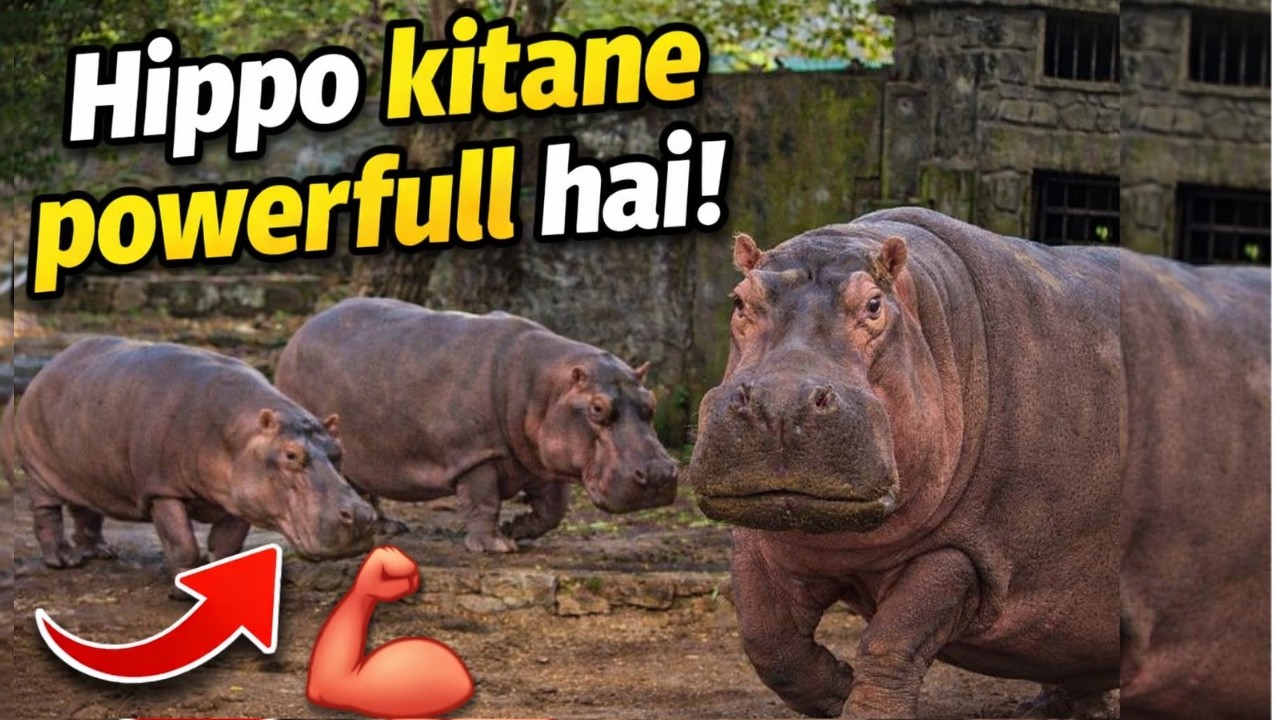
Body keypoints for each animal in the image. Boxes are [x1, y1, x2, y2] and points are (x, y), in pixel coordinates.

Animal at [16, 337, 378, 590]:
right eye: (291, 454)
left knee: (86, 511)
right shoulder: (162, 490)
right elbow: (182, 544)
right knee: (46, 515)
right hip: (38, 472)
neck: (239, 434)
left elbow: (228, 544)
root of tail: (51, 364)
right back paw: (64, 560)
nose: (362, 515)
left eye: (338, 450)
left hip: (86, 474)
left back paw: (101, 552)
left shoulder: (239, 499)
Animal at [275, 297, 679, 553]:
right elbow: (483, 500)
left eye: (652, 402)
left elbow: (553, 510)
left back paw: (388, 527)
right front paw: (497, 546)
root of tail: (298, 333)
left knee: (362, 485)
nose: (659, 473)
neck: (544, 387)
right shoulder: (475, 454)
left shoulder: (539, 458)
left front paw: (518, 530)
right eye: (597, 408)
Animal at [688, 207, 1268, 719]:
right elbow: (767, 640)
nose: (780, 404)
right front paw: (835, 690)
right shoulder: (764, 538)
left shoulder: (966, 552)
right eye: (740, 299)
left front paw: (859, 702)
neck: (926, 313)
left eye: (874, 304)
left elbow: (891, 642)